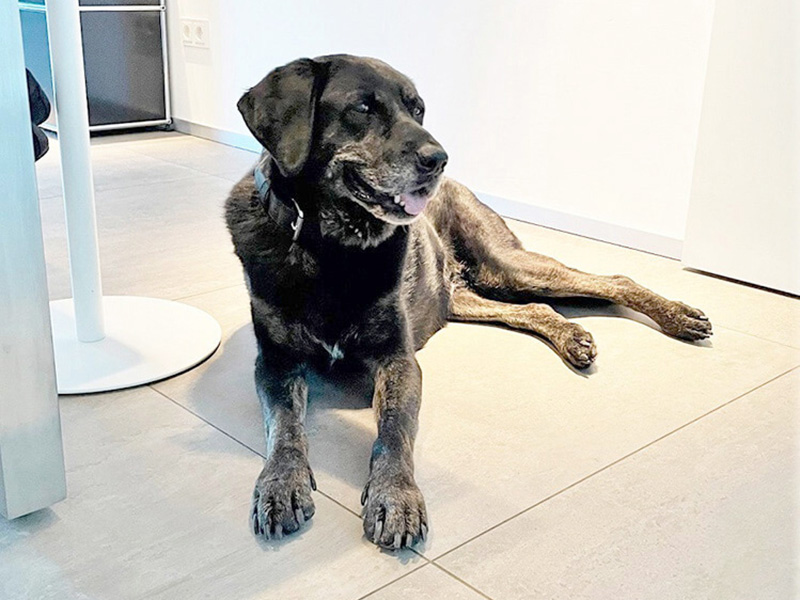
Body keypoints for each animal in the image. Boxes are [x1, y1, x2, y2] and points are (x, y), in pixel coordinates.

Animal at [225, 54, 712, 550]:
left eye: (418, 109)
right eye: (362, 108)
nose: (438, 159)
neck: (331, 248)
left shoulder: (398, 361)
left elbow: (393, 432)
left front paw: (395, 496)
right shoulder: (276, 362)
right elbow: (283, 427)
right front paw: (280, 482)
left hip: (510, 267)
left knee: (612, 279)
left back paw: (678, 316)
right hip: (466, 297)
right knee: (535, 309)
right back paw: (572, 336)